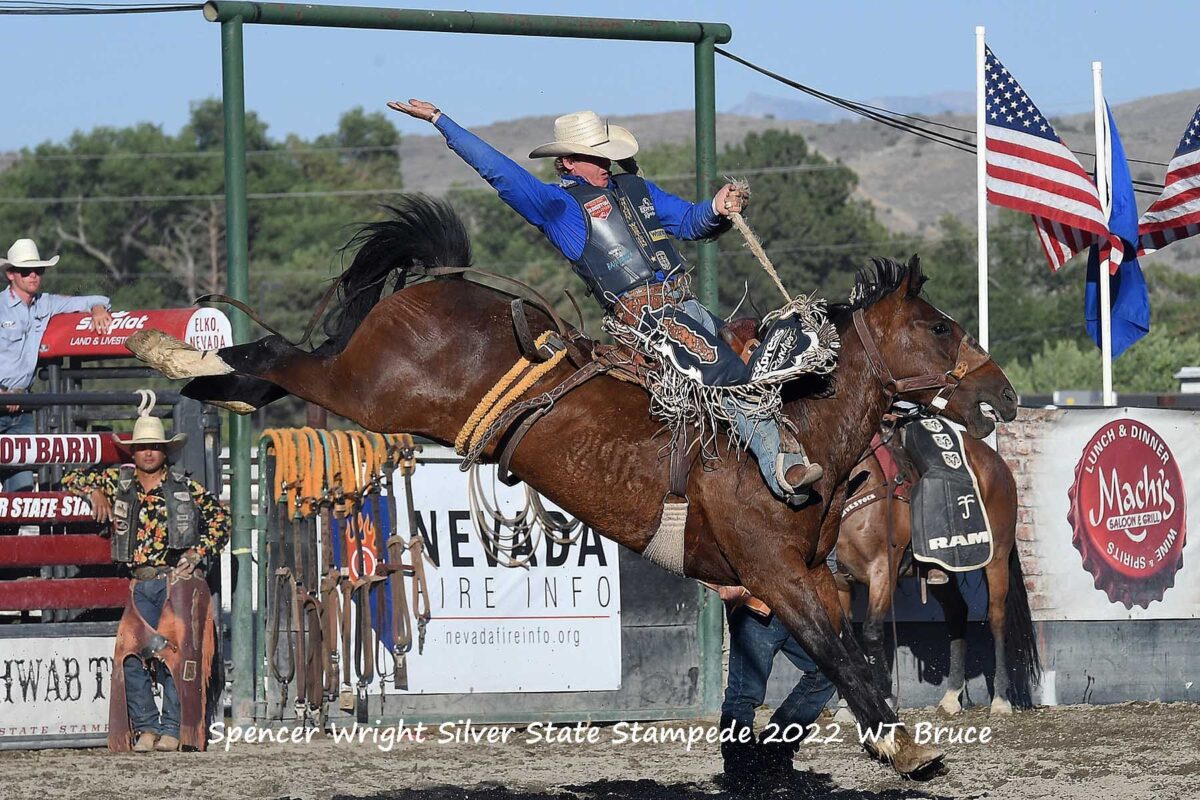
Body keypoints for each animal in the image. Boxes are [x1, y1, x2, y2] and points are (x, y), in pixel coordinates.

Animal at [129, 196, 1012, 777]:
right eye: (938, 327)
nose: (999, 396)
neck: (794, 433)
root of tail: (444, 282)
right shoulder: (776, 575)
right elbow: (842, 655)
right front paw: (900, 745)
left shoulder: (810, 580)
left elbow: (842, 657)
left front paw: (859, 738)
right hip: (367, 388)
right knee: (285, 357)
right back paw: (175, 352)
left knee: (279, 367)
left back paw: (193, 374)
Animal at [835, 429, 1041, 714]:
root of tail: (999, 465)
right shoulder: (839, 580)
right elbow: (845, 639)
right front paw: (847, 705)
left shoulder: (883, 571)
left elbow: (871, 631)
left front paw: (885, 698)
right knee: (957, 612)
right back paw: (951, 696)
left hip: (997, 557)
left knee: (997, 618)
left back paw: (1000, 700)